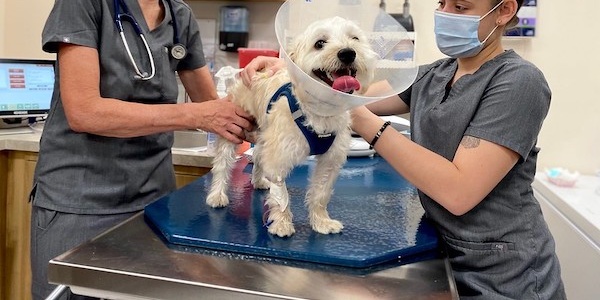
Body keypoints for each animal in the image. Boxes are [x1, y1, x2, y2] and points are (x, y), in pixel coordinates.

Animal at [206, 16, 376, 238]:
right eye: (320, 43)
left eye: (354, 38)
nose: (348, 53)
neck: (320, 112)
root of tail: (256, 69)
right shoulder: (279, 155)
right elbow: (281, 197)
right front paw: (281, 224)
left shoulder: (330, 160)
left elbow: (320, 193)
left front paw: (321, 221)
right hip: (234, 126)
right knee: (222, 163)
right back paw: (217, 195)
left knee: (259, 155)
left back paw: (259, 181)